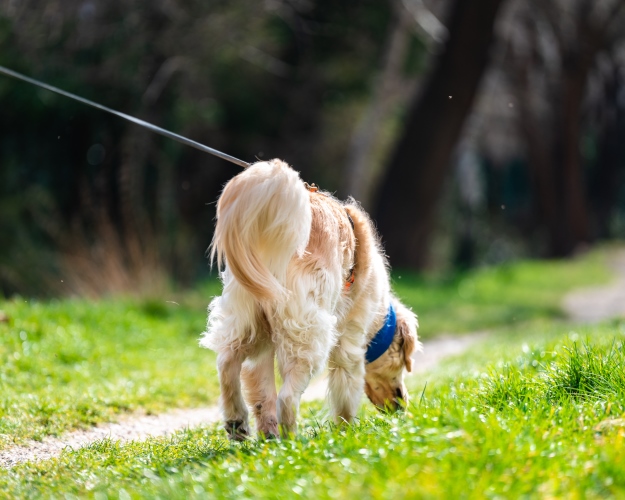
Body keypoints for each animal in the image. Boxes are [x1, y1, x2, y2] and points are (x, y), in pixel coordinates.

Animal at [201, 159, 420, 438]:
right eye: (403, 361)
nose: (402, 405)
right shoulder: (349, 341)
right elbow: (345, 396)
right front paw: (347, 434)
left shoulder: (262, 351)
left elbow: (261, 394)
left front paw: (267, 434)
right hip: (310, 335)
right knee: (287, 398)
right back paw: (293, 439)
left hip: (247, 321)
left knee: (227, 364)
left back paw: (237, 423)